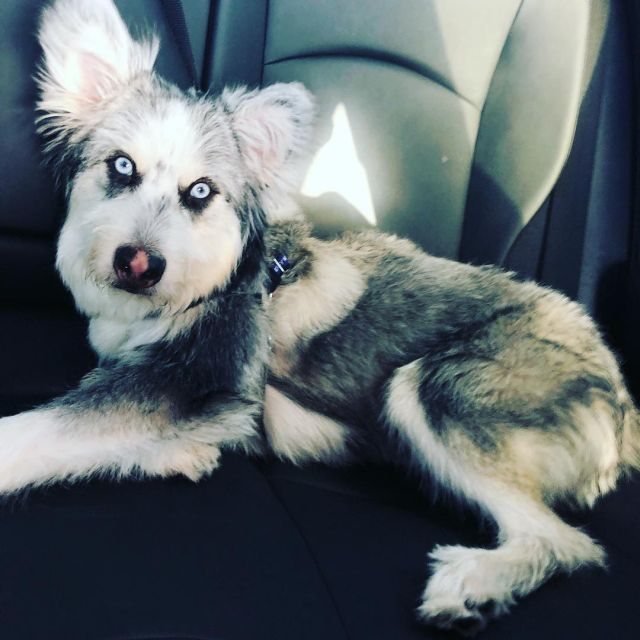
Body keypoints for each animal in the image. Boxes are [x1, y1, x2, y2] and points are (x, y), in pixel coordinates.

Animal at [0, 0, 636, 636]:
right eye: (122, 165)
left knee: (568, 543)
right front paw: (181, 451)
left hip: (436, 386)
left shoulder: (193, 373)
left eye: (200, 191)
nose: (139, 264)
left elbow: (47, 429)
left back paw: (475, 585)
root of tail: (622, 404)